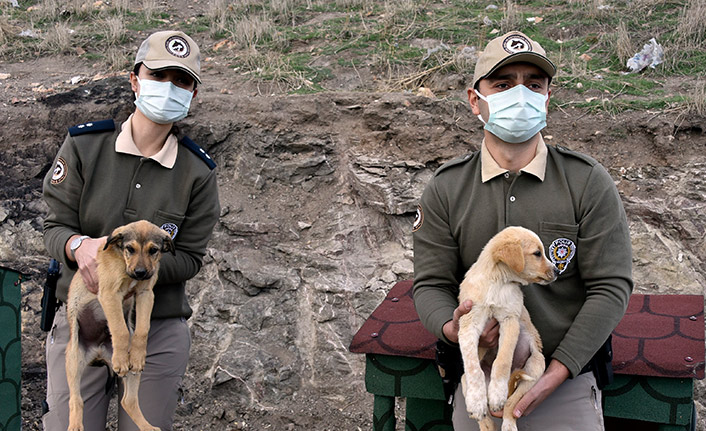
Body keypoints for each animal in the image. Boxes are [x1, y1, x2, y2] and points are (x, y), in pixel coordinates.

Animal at [65, 221, 175, 430]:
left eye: (153, 250)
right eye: (130, 249)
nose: (140, 272)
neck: (123, 263)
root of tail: (99, 351)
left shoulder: (145, 293)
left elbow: (141, 329)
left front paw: (138, 355)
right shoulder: (110, 294)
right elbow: (120, 330)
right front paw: (121, 356)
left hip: (130, 375)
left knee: (128, 401)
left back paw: (147, 427)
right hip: (74, 360)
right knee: (76, 400)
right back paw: (75, 425)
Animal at [456, 226, 556, 431]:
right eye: (537, 253)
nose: (557, 271)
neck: (498, 282)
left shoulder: (510, 321)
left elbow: (502, 360)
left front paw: (497, 393)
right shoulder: (469, 324)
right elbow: (473, 367)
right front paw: (476, 401)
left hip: (535, 367)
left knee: (511, 404)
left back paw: (508, 422)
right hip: (462, 379)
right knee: (485, 418)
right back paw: (484, 418)